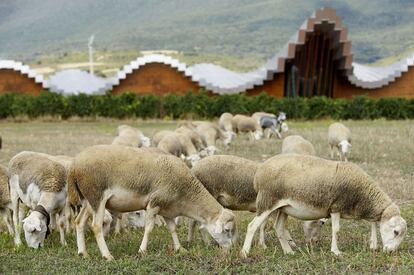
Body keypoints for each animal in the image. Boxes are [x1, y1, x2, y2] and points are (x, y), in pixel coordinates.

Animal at [68, 146, 236, 262]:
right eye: (227, 230)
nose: (230, 250)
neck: (186, 195)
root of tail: (75, 165)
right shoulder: (154, 203)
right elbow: (149, 228)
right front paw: (142, 251)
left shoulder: (167, 208)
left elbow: (173, 229)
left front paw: (180, 249)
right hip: (97, 197)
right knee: (96, 226)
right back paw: (107, 255)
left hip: (88, 200)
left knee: (79, 222)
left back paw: (83, 253)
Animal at [241, 155, 406, 258]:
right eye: (396, 232)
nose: (391, 252)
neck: (362, 194)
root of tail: (259, 172)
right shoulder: (336, 207)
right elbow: (336, 230)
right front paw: (336, 251)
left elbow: (373, 226)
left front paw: (373, 246)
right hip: (267, 201)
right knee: (252, 226)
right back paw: (245, 252)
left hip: (282, 207)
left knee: (279, 228)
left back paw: (289, 252)